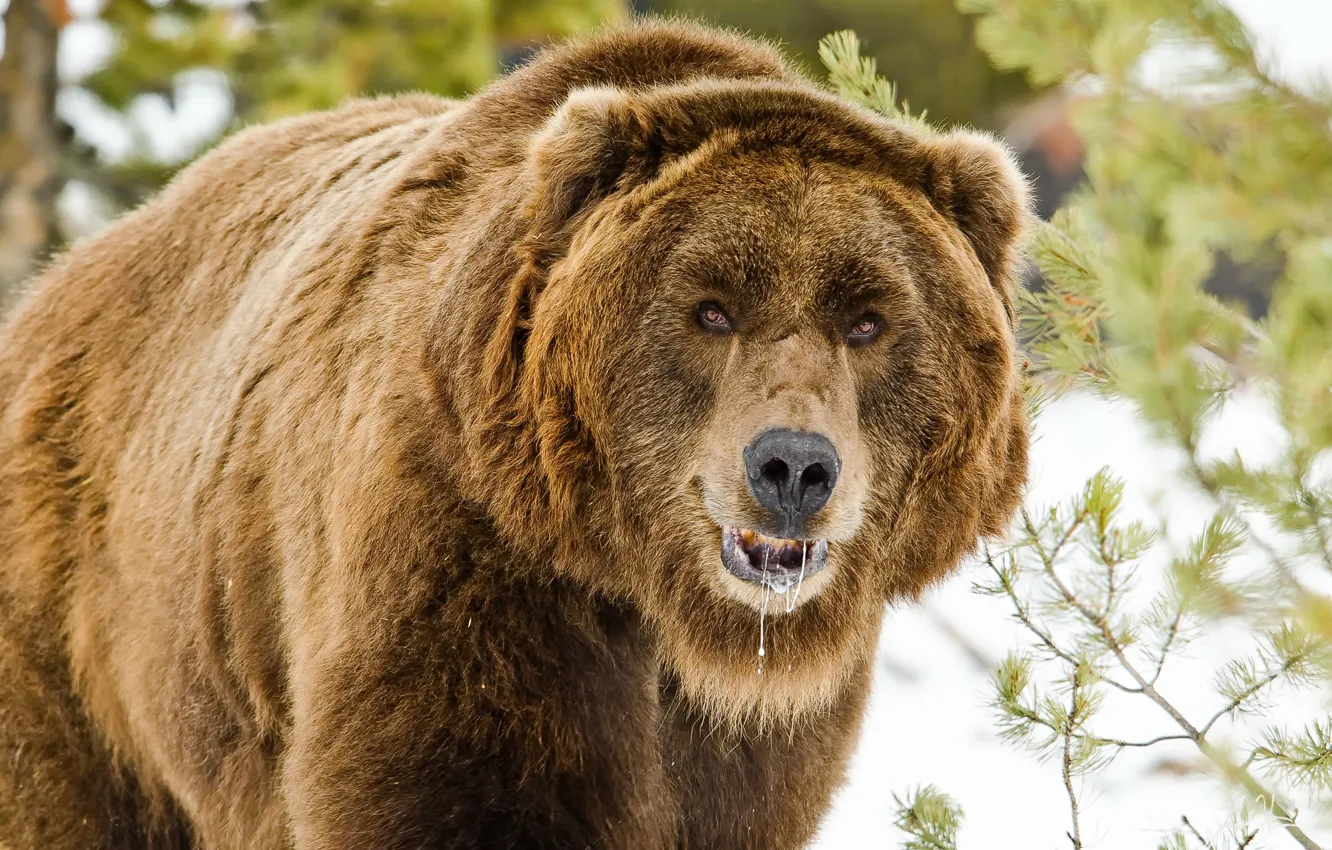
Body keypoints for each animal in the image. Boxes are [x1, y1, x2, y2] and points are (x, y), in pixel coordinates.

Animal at [0, 19, 1031, 850]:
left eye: (868, 319)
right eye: (710, 308)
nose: (793, 467)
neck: (648, 592)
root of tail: (60, 279)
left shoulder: (755, 745)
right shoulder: (468, 580)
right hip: (85, 637)